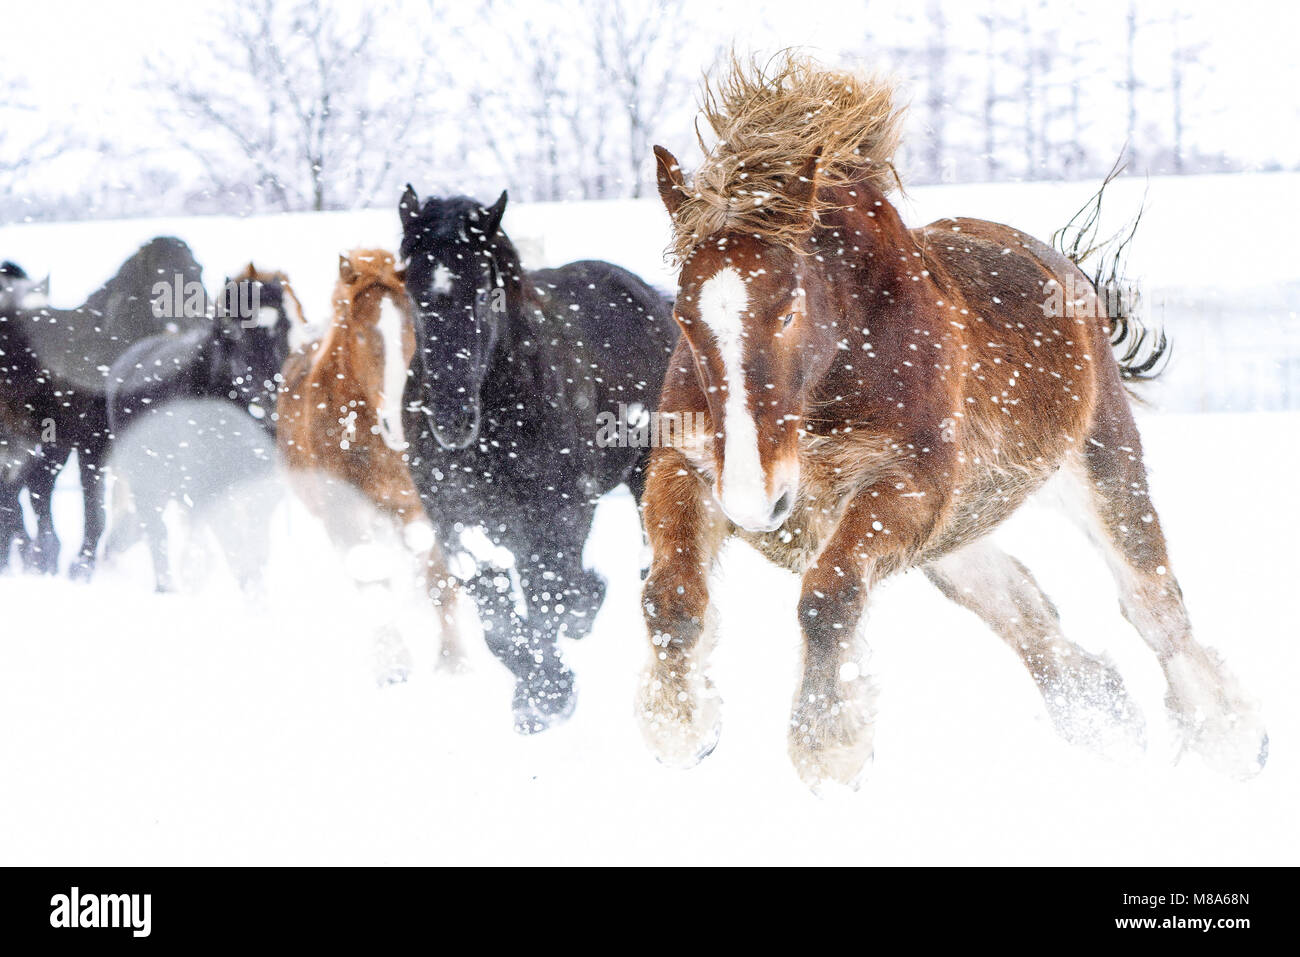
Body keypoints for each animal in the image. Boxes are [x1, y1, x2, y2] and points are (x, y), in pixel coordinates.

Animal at [0, 237, 205, 578]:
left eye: (197, 269)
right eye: (164, 275)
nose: (203, 322)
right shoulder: (89, 443)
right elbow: (92, 502)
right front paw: (81, 565)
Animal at [106, 265, 303, 593]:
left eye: (284, 326)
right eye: (233, 330)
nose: (271, 400)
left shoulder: (263, 494)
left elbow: (256, 552)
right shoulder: (212, 493)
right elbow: (238, 554)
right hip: (147, 488)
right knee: (157, 537)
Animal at [278, 249, 466, 679]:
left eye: (412, 332)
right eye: (362, 335)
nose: (398, 420)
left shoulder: (418, 506)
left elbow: (436, 576)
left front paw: (453, 662)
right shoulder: (342, 514)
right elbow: (372, 584)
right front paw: (394, 670)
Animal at [398, 186, 679, 732]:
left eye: (482, 291)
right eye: (413, 291)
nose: (451, 418)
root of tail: (650, 298)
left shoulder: (557, 513)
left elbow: (550, 591)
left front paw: (551, 689)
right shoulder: (458, 524)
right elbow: (498, 617)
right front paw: (538, 694)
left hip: (643, 471)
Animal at [639, 53, 1267, 789]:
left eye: (788, 309)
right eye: (683, 315)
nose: (754, 502)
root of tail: (1066, 270)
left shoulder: (907, 487)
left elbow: (828, 596)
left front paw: (826, 745)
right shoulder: (687, 468)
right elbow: (671, 595)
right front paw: (679, 726)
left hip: (1102, 469)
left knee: (1153, 607)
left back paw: (1233, 740)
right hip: (956, 539)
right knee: (1021, 608)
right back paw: (1106, 722)